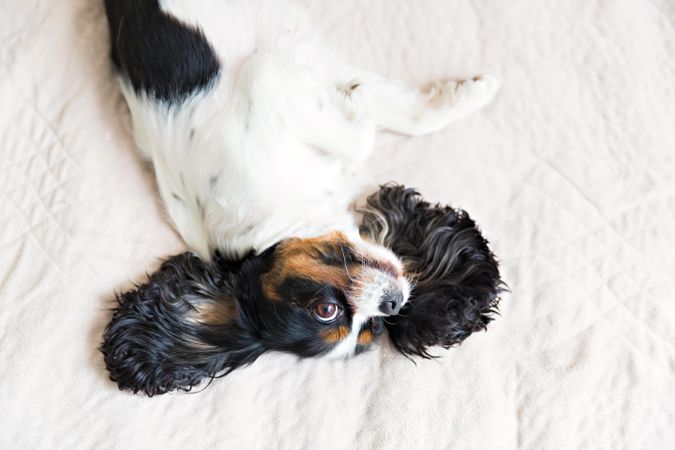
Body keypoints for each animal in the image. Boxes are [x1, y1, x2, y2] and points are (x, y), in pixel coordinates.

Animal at [100, 0, 502, 396]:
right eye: (328, 312)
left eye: (376, 322)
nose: (393, 303)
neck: (274, 223)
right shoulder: (268, 80)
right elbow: (362, 134)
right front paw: (362, 95)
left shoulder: (265, 82)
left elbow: (393, 122)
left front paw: (468, 93)